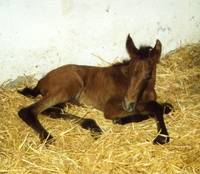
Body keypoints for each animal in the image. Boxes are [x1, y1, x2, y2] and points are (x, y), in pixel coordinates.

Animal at [18, 34, 170, 145]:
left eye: (148, 75)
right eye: (130, 71)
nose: (127, 104)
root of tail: (41, 81)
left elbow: (160, 107)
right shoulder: (111, 109)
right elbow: (154, 106)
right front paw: (162, 136)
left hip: (66, 100)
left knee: (52, 111)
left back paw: (91, 125)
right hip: (69, 87)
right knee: (28, 111)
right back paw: (48, 137)